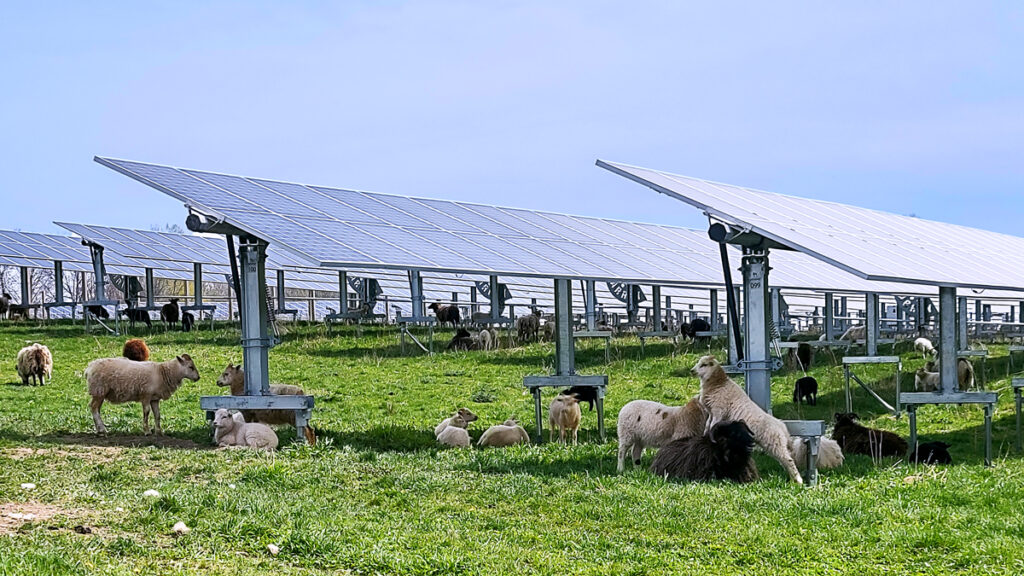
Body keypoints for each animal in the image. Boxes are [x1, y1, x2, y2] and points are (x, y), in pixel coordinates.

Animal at [694, 355, 803, 483]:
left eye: (704, 365)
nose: (692, 371)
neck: (718, 383)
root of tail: (783, 428)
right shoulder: (711, 412)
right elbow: (707, 425)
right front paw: (704, 435)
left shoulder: (719, 410)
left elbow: (713, 425)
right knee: (787, 459)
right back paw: (792, 479)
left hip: (776, 444)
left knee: (788, 460)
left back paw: (798, 481)